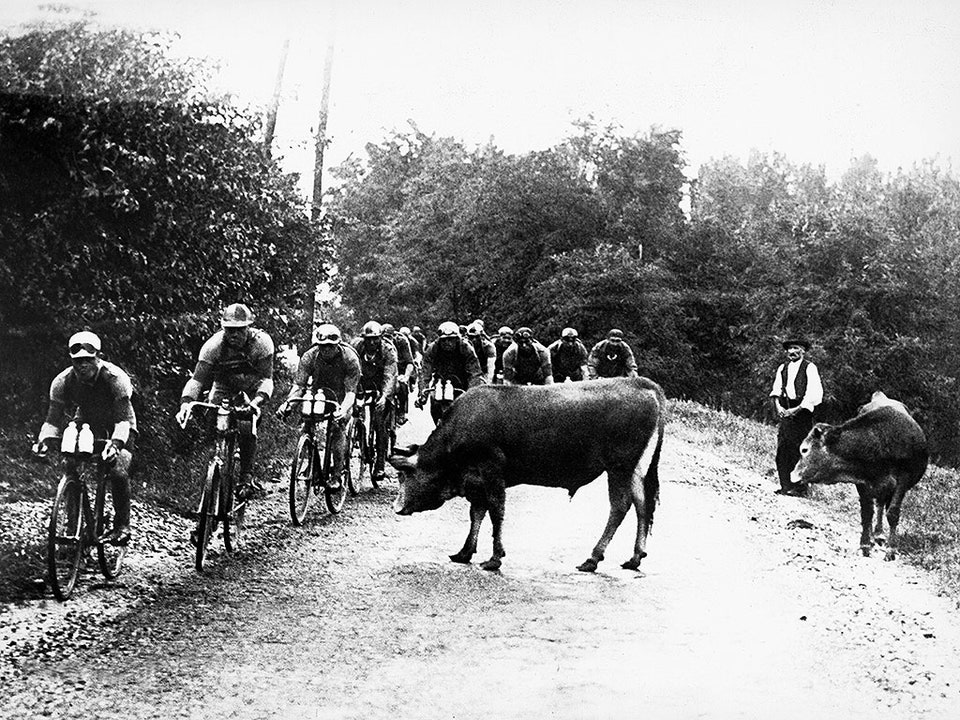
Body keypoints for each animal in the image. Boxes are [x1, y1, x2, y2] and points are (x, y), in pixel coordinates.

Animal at [792, 390, 928, 560]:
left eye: (804, 449)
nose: (792, 475)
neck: (880, 442)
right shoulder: (862, 481)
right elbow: (867, 512)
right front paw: (865, 544)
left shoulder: (904, 479)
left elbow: (893, 513)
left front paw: (891, 550)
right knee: (878, 505)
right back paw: (875, 535)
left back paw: (880, 535)